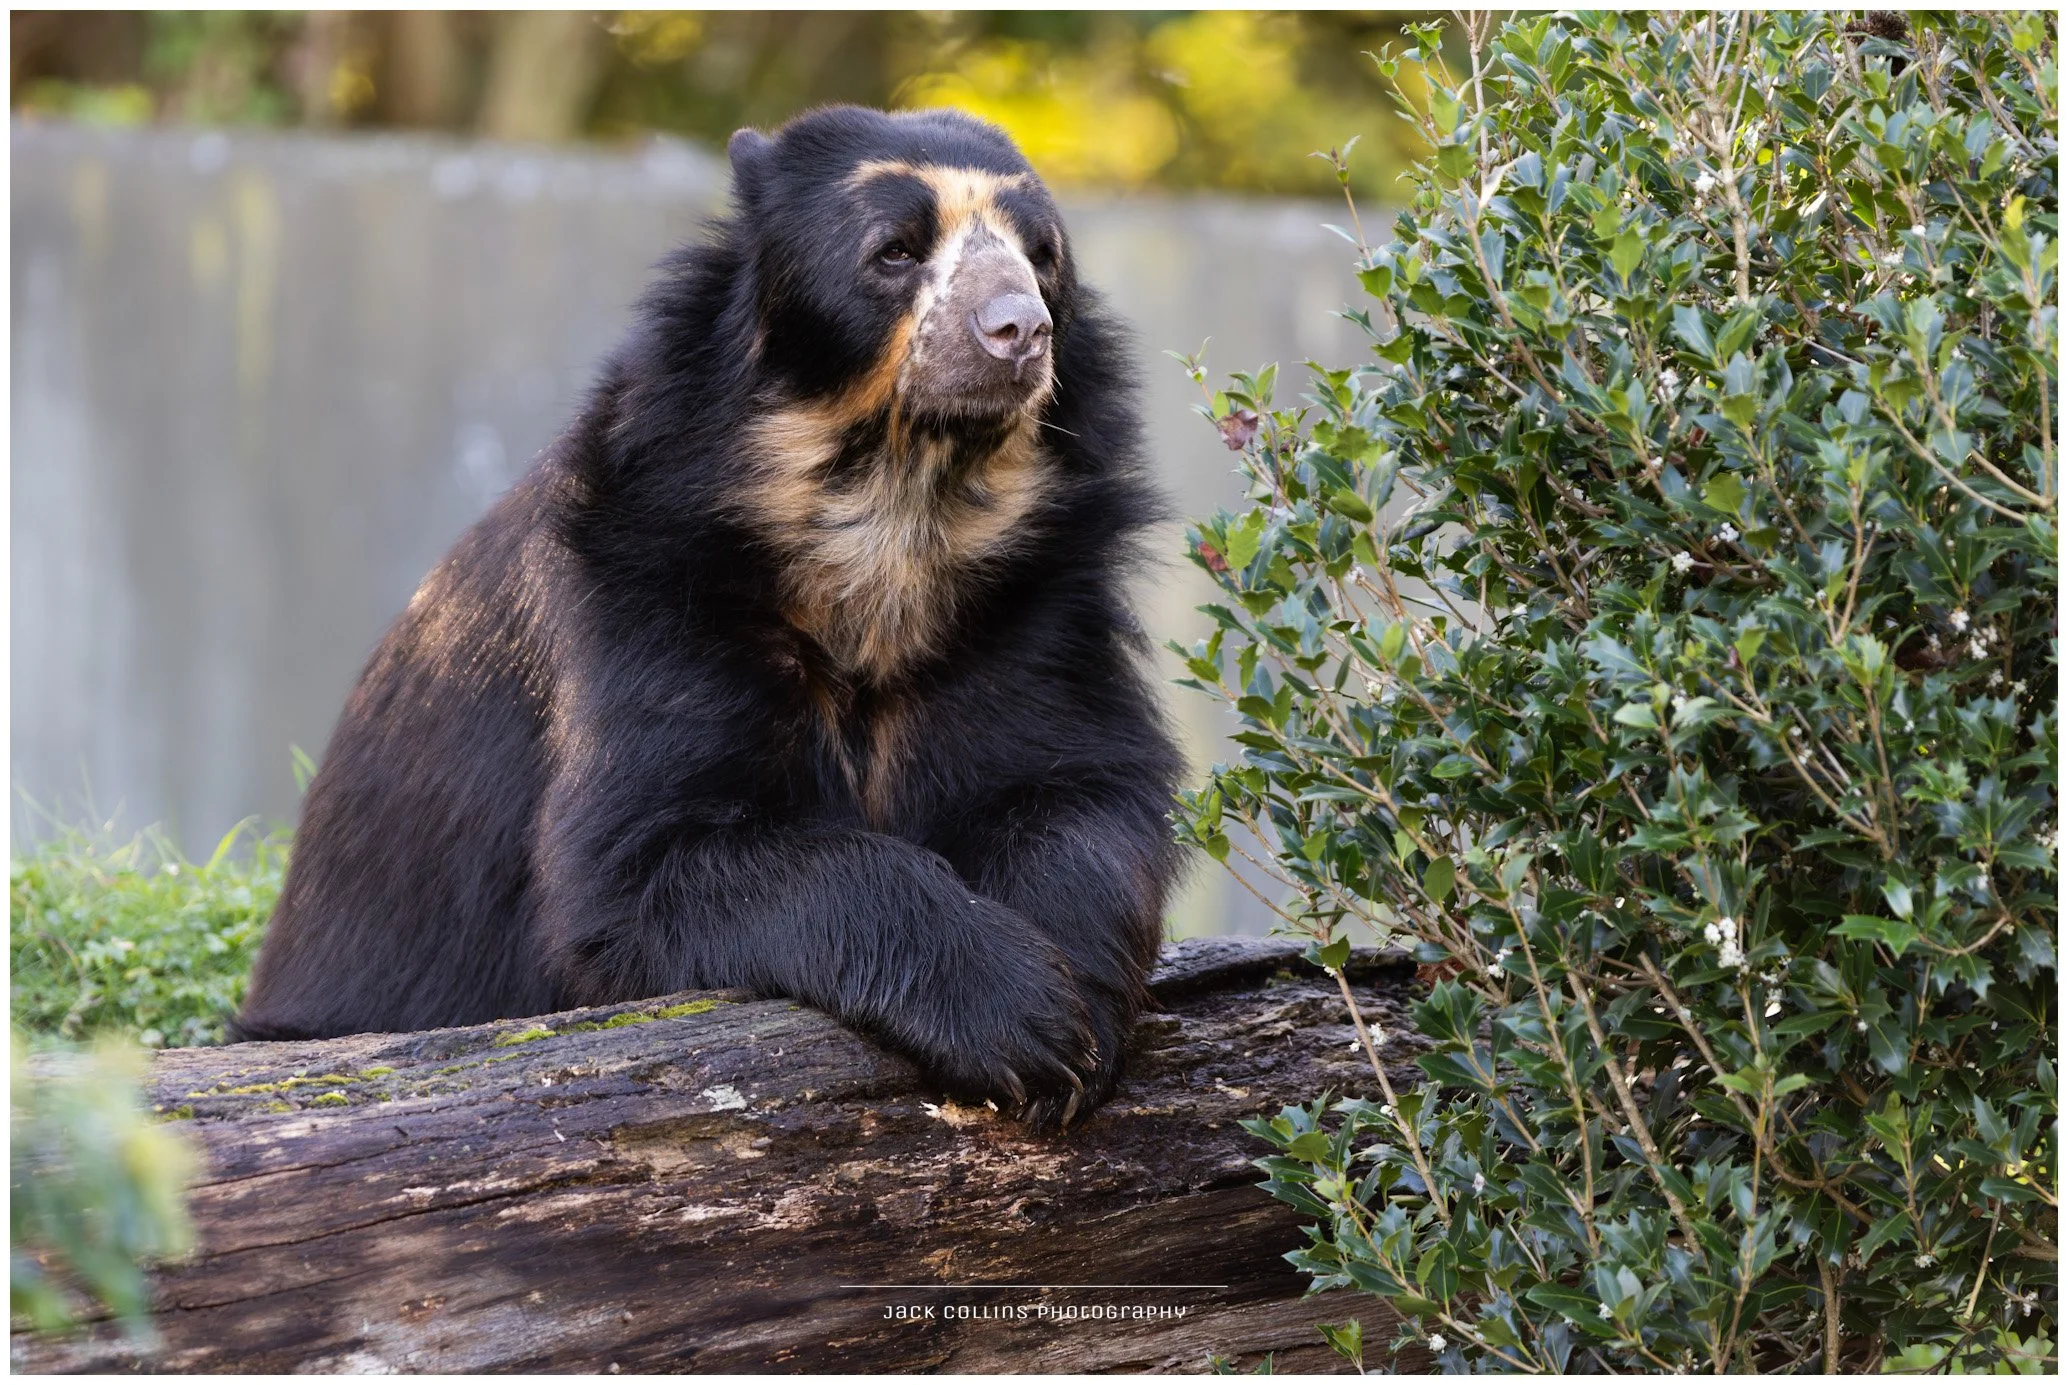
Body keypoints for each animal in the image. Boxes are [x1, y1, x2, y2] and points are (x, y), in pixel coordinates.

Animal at [233, 106, 1186, 1130]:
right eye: (894, 251)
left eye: (1044, 259)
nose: (1018, 330)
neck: (892, 525)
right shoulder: (653, 595)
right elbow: (650, 857)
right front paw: (1023, 1018)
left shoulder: (1032, 611)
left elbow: (1078, 789)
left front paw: (1073, 1013)